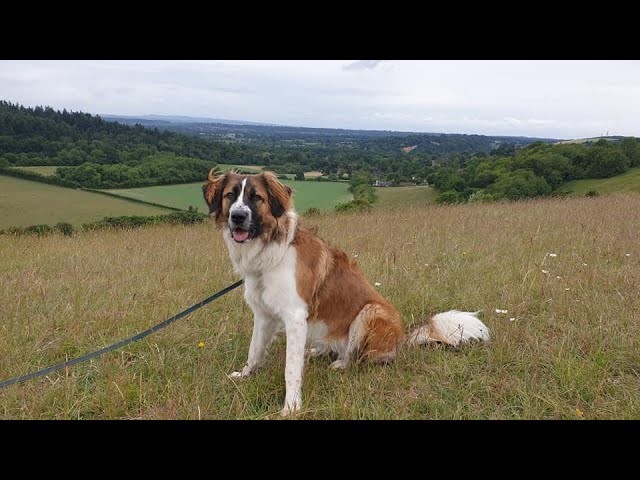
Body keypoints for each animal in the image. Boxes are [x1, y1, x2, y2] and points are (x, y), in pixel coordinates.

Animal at [205, 170, 490, 416]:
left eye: (256, 197)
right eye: (231, 195)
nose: (237, 217)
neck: (269, 250)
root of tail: (402, 338)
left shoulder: (295, 317)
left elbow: (290, 370)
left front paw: (291, 407)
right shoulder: (264, 315)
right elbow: (254, 350)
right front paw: (245, 375)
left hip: (370, 311)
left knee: (356, 356)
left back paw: (340, 363)